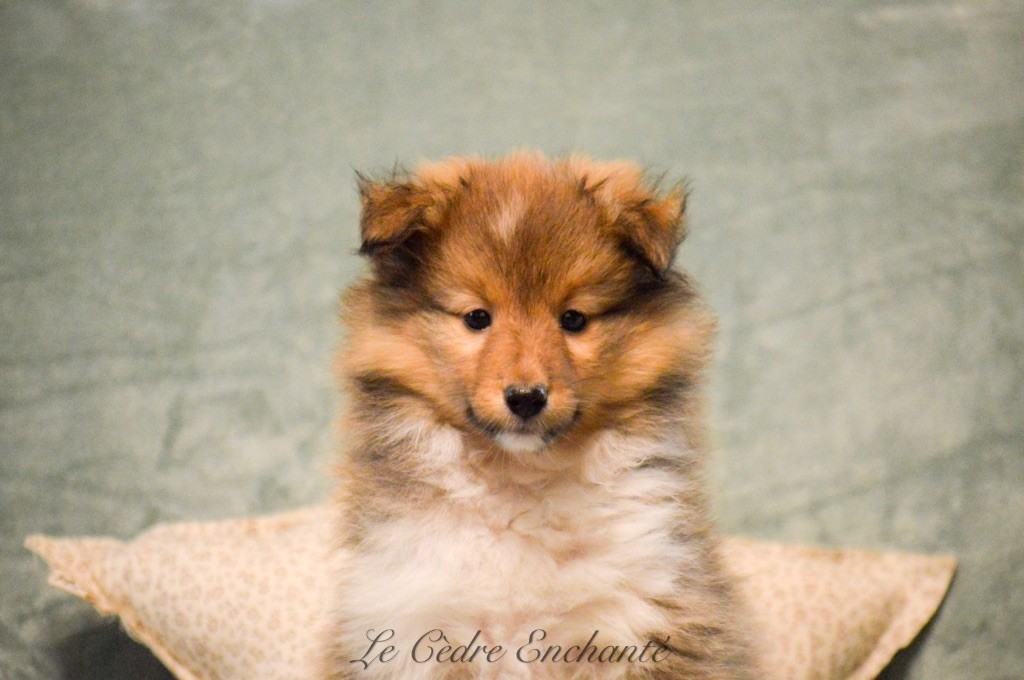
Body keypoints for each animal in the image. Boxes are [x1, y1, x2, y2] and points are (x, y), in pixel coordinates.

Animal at [328, 152, 757, 679]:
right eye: (477, 317)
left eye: (573, 319)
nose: (526, 397)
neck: (522, 481)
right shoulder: (411, 622)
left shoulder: (649, 613)